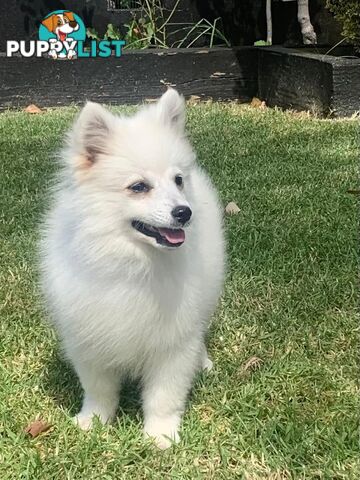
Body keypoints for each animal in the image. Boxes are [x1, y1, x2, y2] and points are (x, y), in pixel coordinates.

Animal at [40, 90, 225, 450]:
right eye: (139, 187)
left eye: (177, 180)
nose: (184, 212)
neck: (132, 263)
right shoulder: (89, 337)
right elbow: (98, 390)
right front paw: (93, 422)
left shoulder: (173, 343)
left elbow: (164, 395)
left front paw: (160, 435)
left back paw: (204, 361)